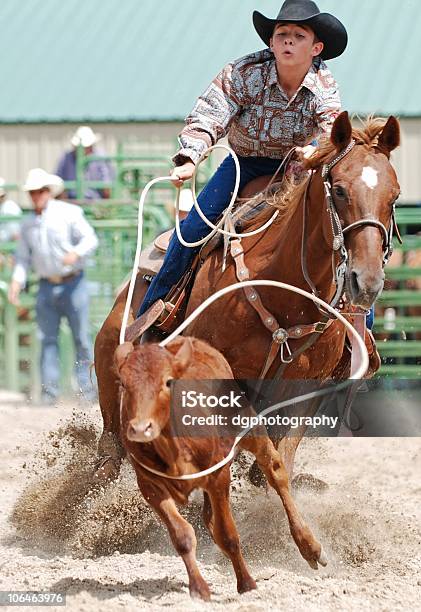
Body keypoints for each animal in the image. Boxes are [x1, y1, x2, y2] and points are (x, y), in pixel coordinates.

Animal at [93, 111, 398, 482]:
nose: (366, 281)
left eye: (394, 197)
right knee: (110, 452)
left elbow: (274, 460)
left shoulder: (306, 390)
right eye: (339, 190)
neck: (286, 298)